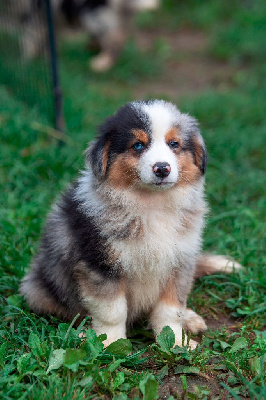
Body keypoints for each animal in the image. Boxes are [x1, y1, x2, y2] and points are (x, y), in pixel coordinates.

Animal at [20, 99, 241, 346]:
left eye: (174, 144)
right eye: (137, 146)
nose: (162, 168)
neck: (151, 204)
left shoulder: (179, 262)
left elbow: (170, 309)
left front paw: (176, 342)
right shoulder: (101, 265)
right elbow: (112, 311)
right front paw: (110, 342)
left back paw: (191, 319)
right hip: (38, 290)